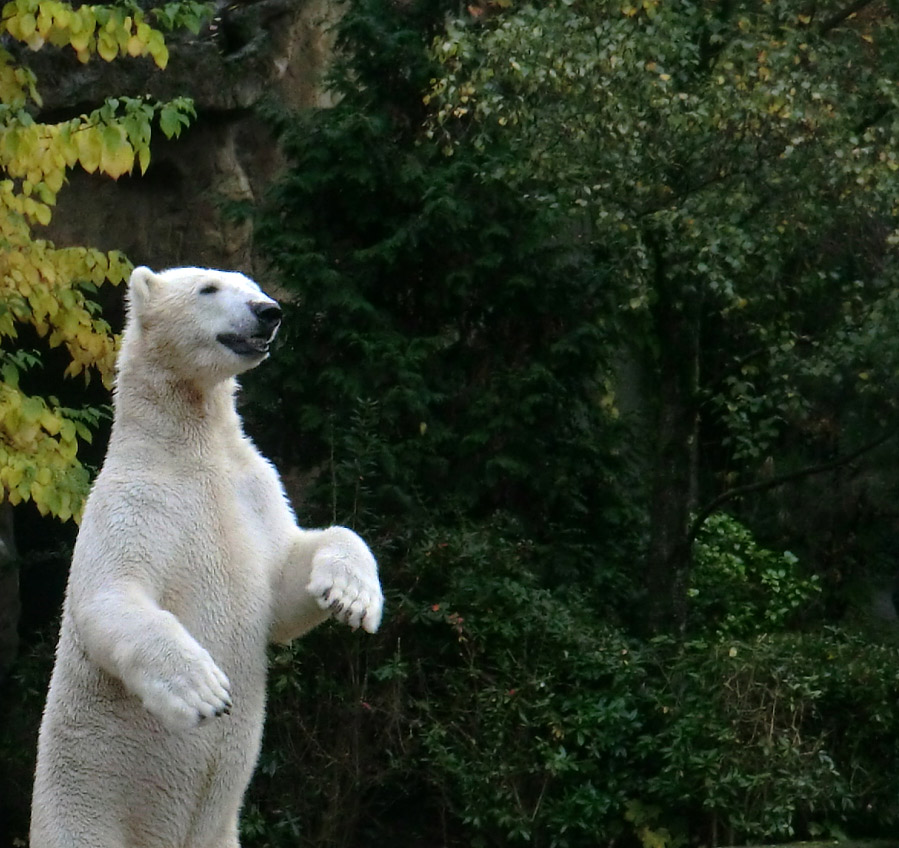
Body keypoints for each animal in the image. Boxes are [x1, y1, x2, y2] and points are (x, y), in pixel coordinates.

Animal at [30, 266, 384, 848]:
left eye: (254, 285)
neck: (186, 446)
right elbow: (110, 595)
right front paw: (203, 690)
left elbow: (286, 578)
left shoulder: (253, 487)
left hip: (219, 834)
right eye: (209, 289)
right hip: (85, 813)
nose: (269, 311)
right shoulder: (133, 503)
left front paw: (352, 595)